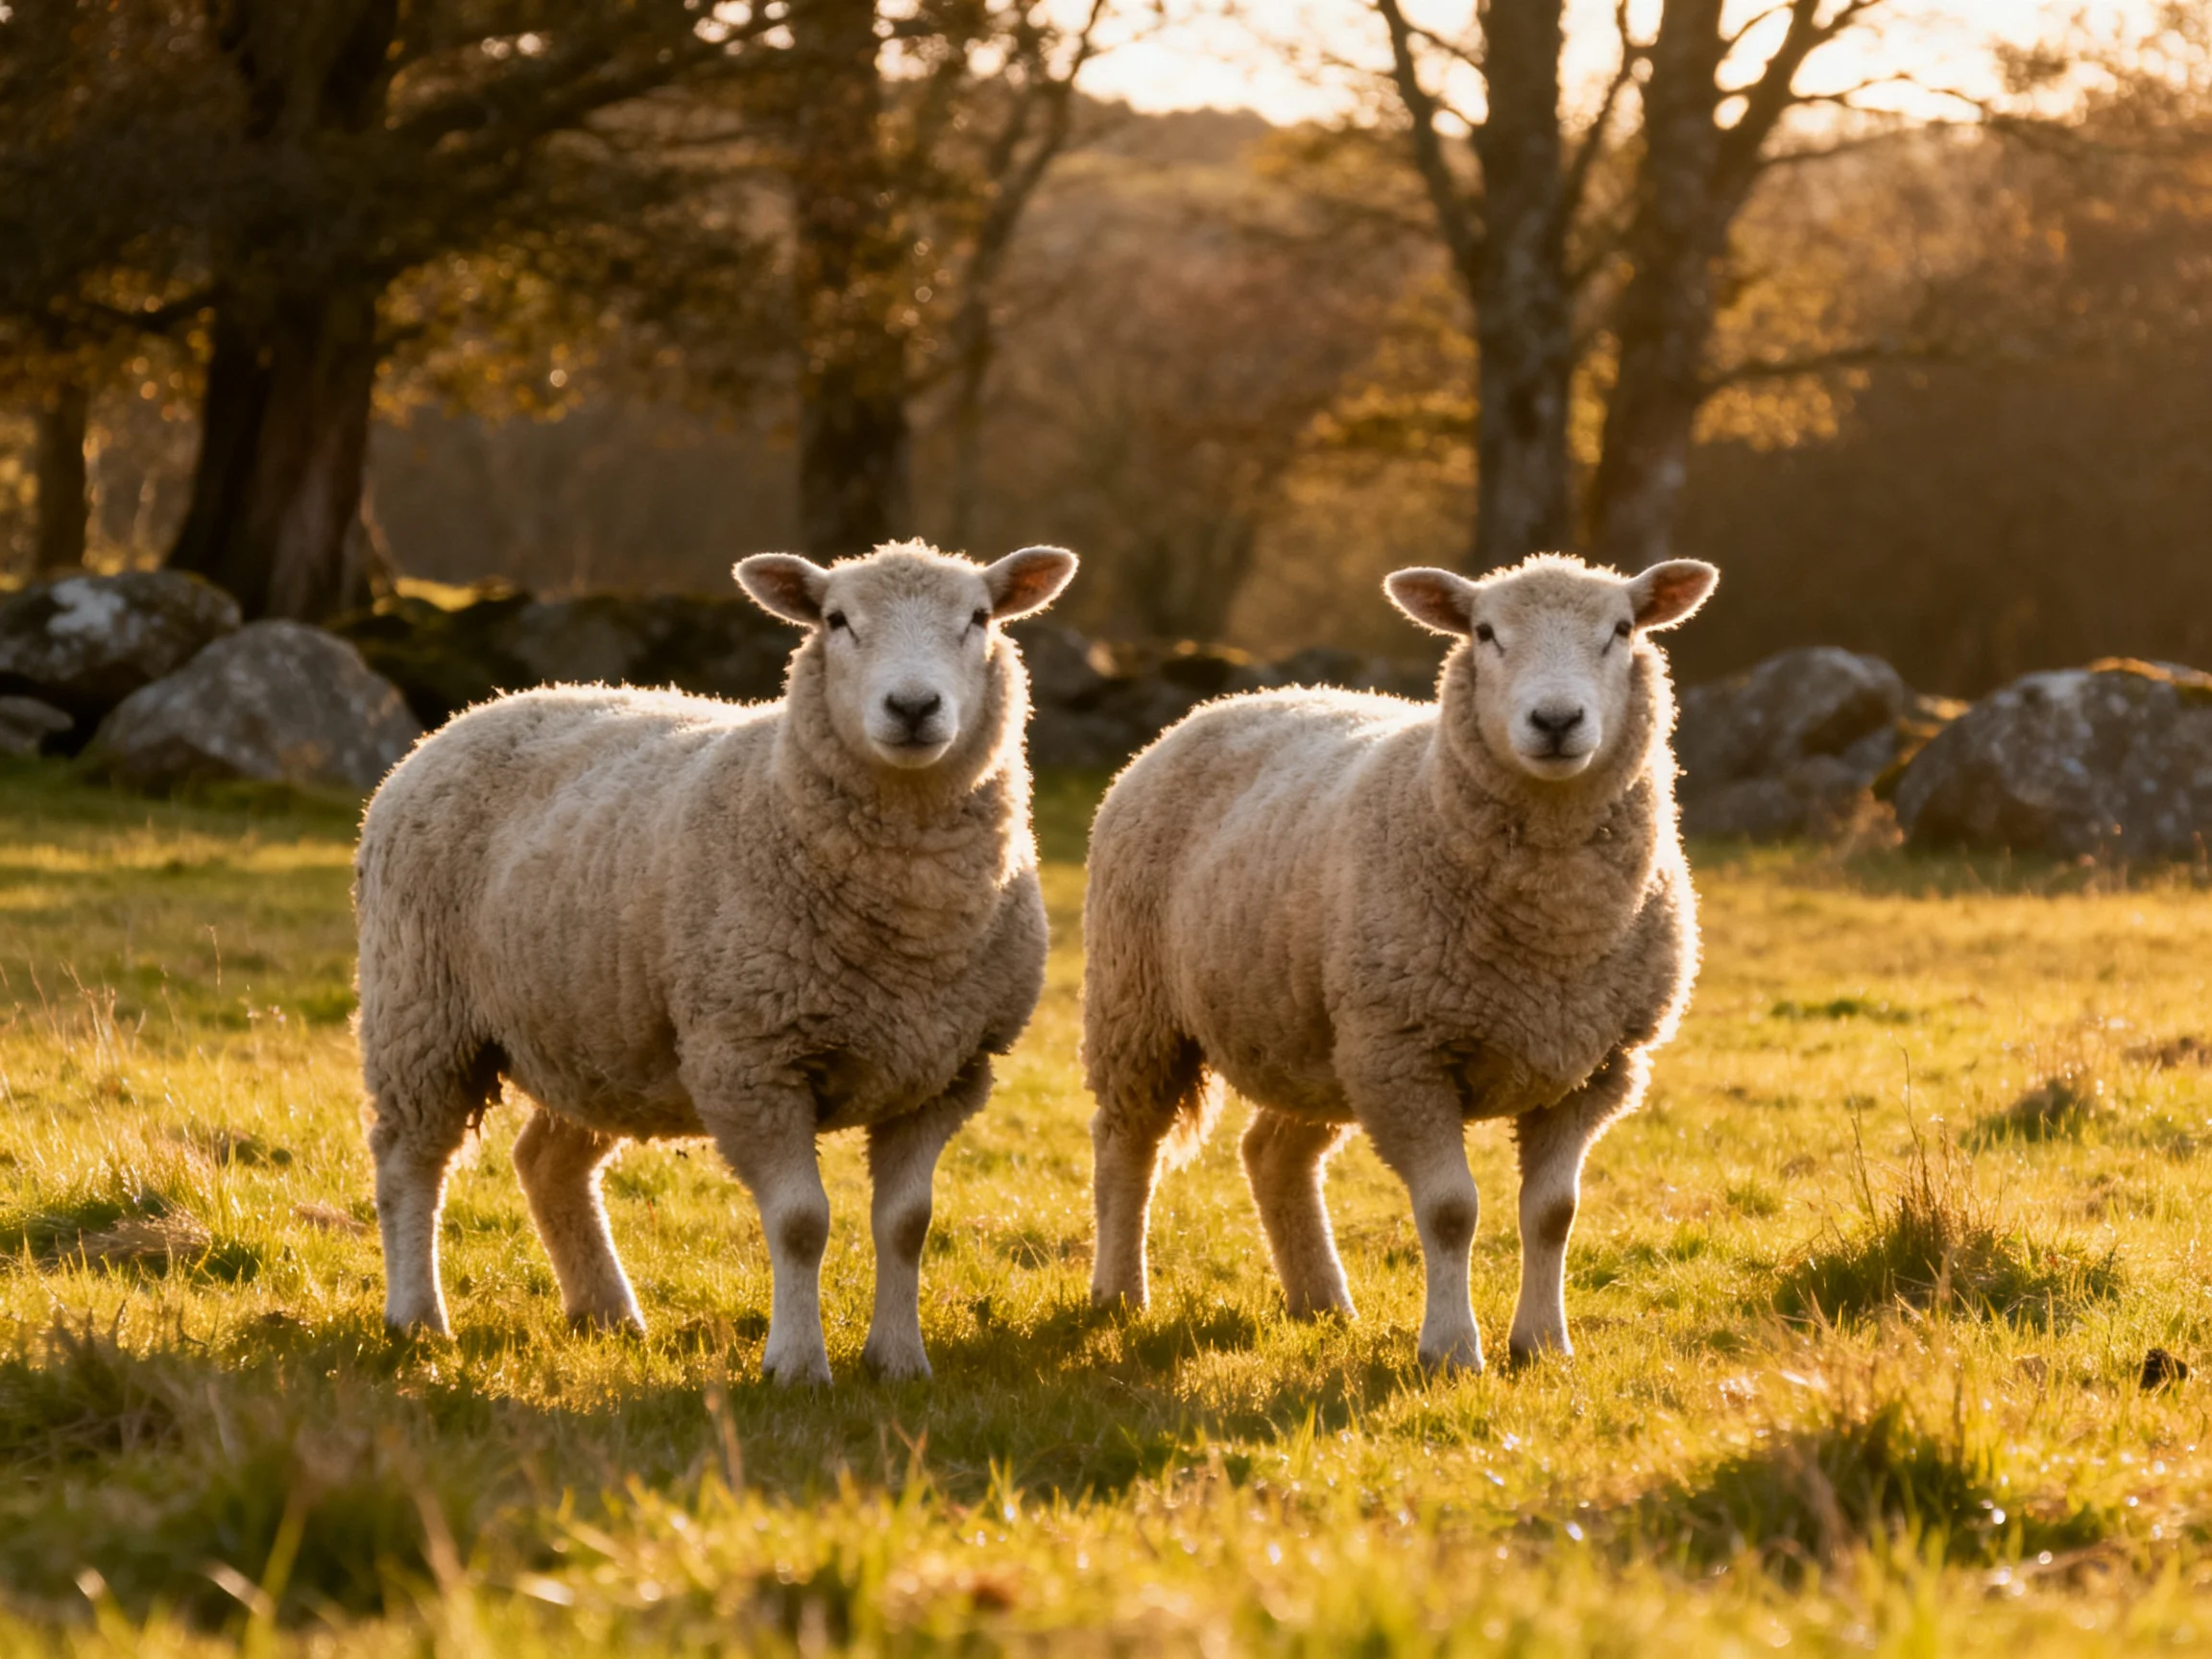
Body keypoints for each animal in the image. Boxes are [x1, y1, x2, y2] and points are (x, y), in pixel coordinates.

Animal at [354, 540, 1078, 1385]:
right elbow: (801, 1222)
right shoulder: (751, 1059)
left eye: (980, 618)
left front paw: (899, 1361)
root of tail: (472, 714)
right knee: (408, 1164)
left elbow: (907, 1223)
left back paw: (607, 1313)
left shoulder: (945, 1073)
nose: (911, 707)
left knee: (546, 1162)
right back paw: (417, 1319)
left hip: (601, 1038)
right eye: (836, 620)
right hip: (422, 1012)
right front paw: (796, 1366)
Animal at [1081, 553, 1718, 1371]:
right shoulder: (1407, 1056)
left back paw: (1321, 1300)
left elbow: (1553, 1213)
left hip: (1319, 1042)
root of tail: (1221, 703)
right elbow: (1449, 1211)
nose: (1555, 721)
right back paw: (1118, 1293)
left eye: (1623, 629)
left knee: (1272, 1154)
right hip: (1140, 1004)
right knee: (1126, 1145)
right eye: (1485, 633)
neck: (1551, 933)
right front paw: (1450, 1351)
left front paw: (1543, 1345)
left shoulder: (1596, 1067)